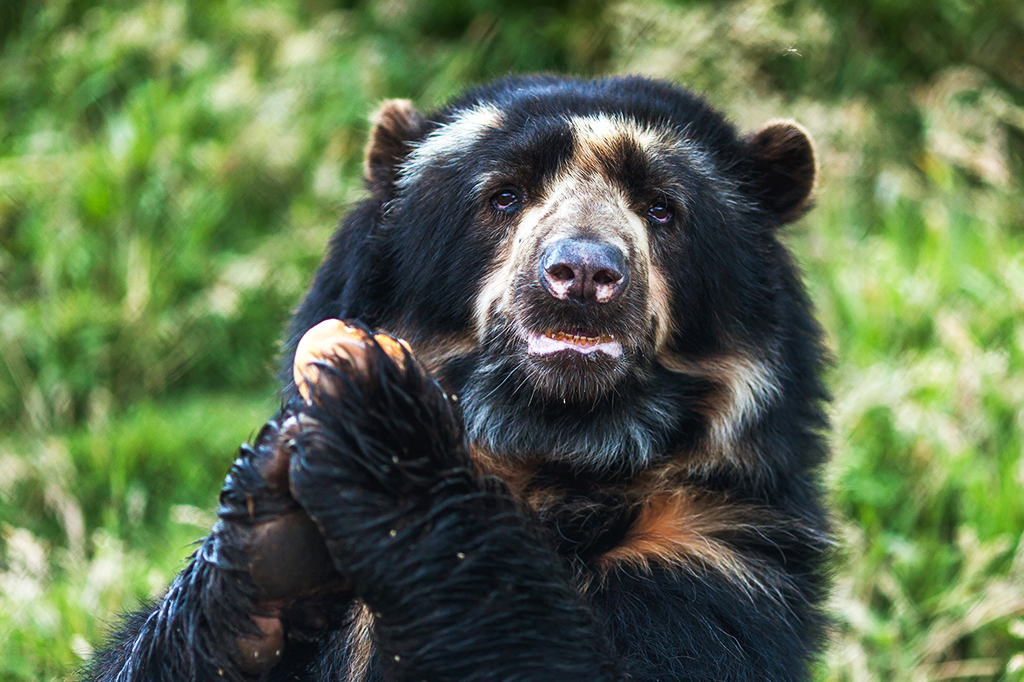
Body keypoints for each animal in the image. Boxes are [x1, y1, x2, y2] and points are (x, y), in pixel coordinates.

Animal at [85, 74, 831, 682]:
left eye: (662, 210)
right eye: (503, 196)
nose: (583, 275)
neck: (553, 455)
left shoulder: (718, 552)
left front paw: (379, 422)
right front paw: (272, 533)